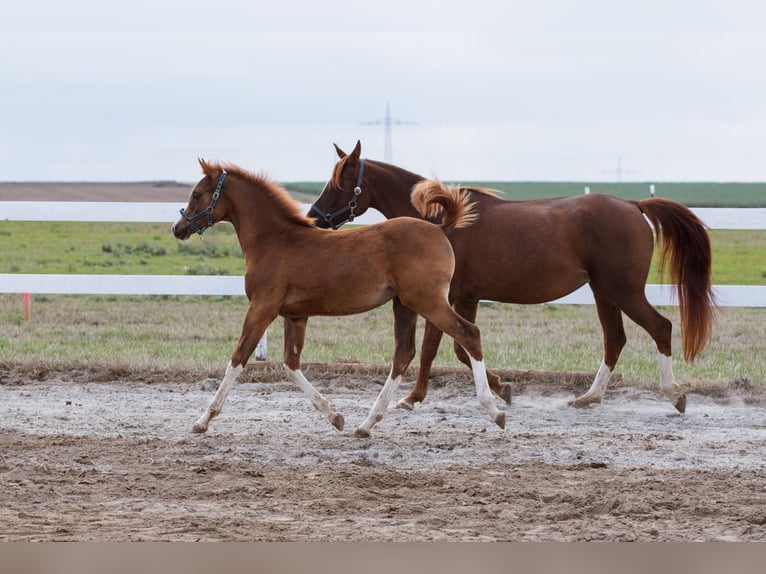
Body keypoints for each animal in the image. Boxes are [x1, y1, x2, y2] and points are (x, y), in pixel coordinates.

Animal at [172, 160, 504, 438]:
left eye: (197, 194)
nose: (178, 228)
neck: (276, 241)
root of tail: (438, 228)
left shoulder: (261, 308)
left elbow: (238, 358)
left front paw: (202, 420)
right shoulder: (295, 315)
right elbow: (291, 364)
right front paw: (335, 417)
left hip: (428, 301)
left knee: (469, 334)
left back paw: (494, 410)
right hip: (405, 305)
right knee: (403, 355)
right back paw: (366, 424)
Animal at [308, 143, 716, 414]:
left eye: (339, 183)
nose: (314, 218)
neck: (441, 223)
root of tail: (633, 205)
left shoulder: (447, 297)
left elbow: (436, 348)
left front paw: (415, 398)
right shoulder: (464, 298)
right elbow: (453, 349)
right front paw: (500, 387)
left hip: (624, 290)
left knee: (660, 327)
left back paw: (674, 394)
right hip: (604, 292)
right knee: (615, 339)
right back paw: (590, 397)